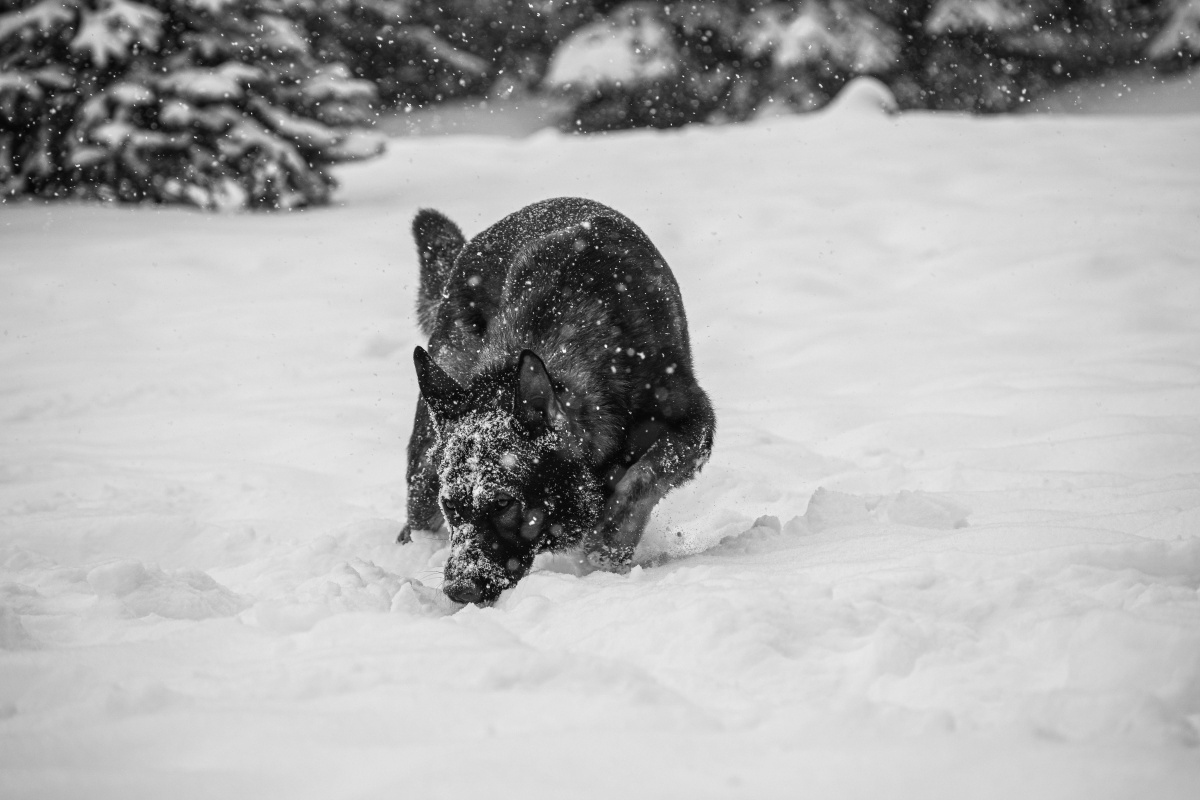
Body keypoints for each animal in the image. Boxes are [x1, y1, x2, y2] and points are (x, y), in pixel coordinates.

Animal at [398, 196, 710, 604]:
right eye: (451, 505)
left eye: (503, 503)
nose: (458, 590)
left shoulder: (695, 422)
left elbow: (643, 477)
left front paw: (608, 545)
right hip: (425, 469)